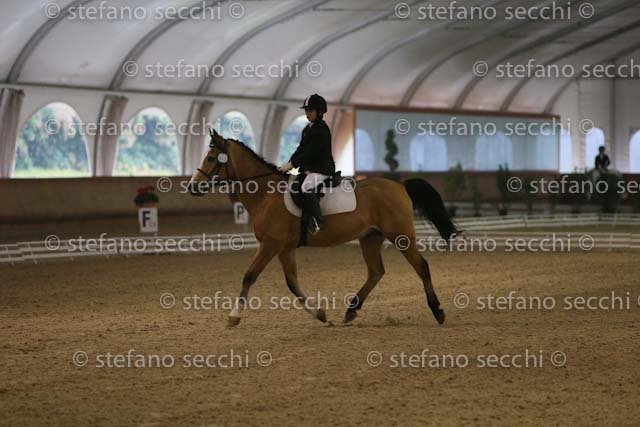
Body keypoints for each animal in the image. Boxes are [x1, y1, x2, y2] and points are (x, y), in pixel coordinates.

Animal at [189, 129, 457, 327]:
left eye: (211, 158)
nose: (192, 187)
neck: (266, 194)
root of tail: (400, 186)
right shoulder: (285, 248)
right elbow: (292, 284)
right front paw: (320, 314)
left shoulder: (270, 245)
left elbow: (249, 276)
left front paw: (233, 317)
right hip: (370, 237)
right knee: (375, 272)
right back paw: (350, 311)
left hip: (400, 235)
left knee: (421, 266)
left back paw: (438, 311)